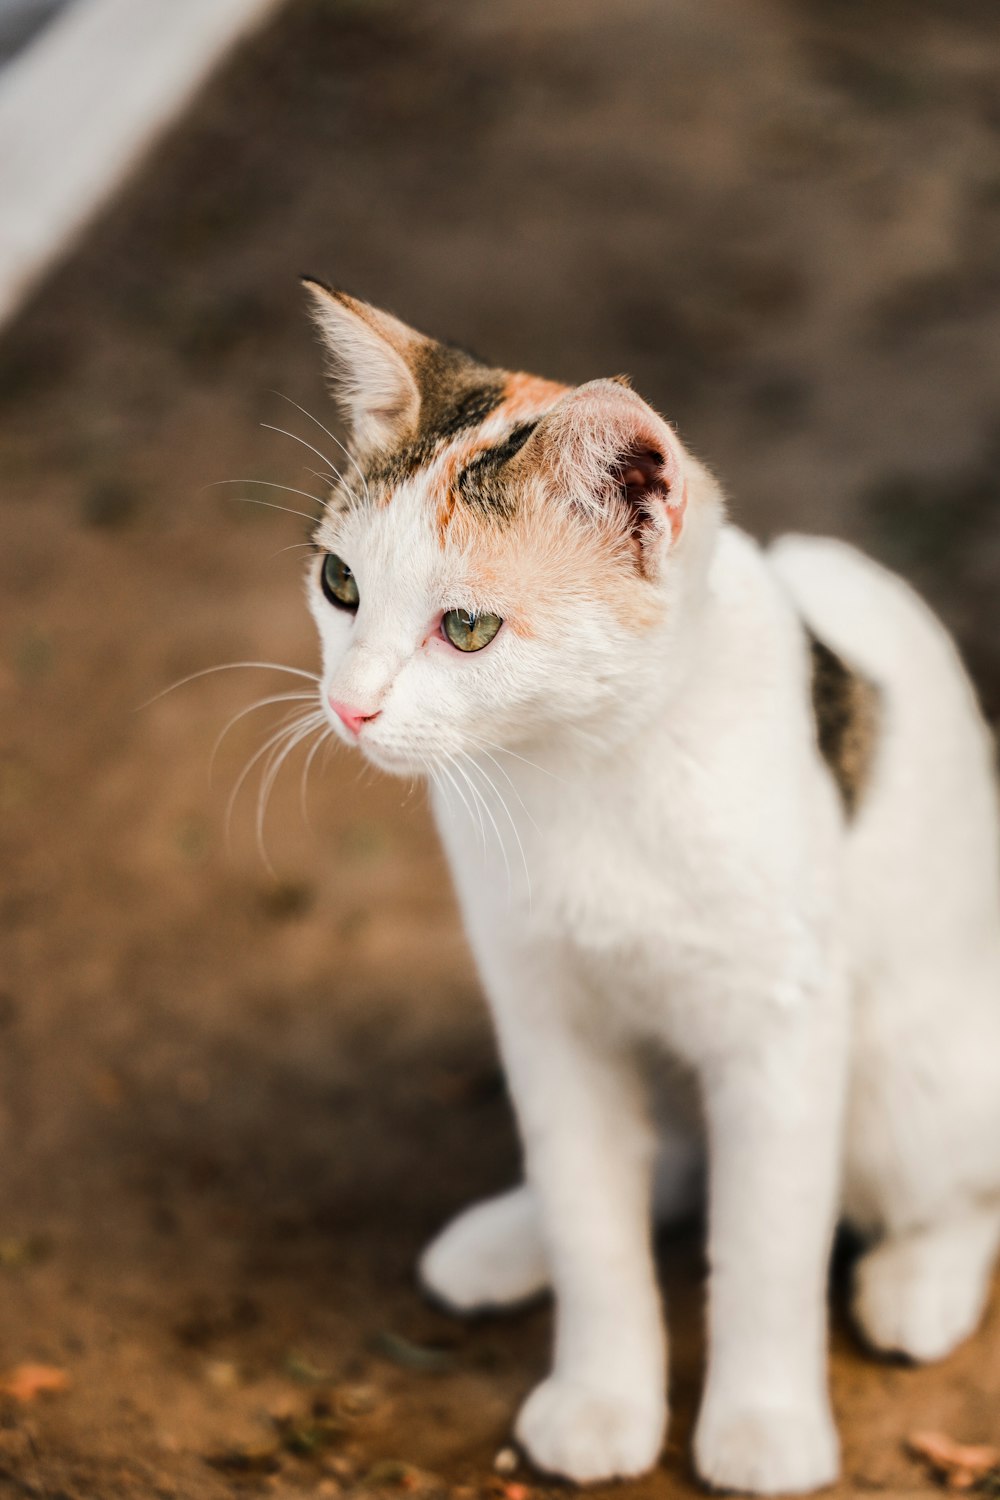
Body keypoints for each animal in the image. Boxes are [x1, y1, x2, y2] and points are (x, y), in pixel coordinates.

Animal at [301, 282, 1000, 1488]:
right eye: (338, 584)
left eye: (468, 627)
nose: (350, 707)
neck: (578, 769)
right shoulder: (543, 1010)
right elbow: (594, 1216)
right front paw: (600, 1396)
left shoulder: (780, 1032)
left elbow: (766, 1245)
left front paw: (763, 1426)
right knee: (653, 1160)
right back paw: (510, 1237)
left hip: (906, 1072)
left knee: (953, 1178)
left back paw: (921, 1281)